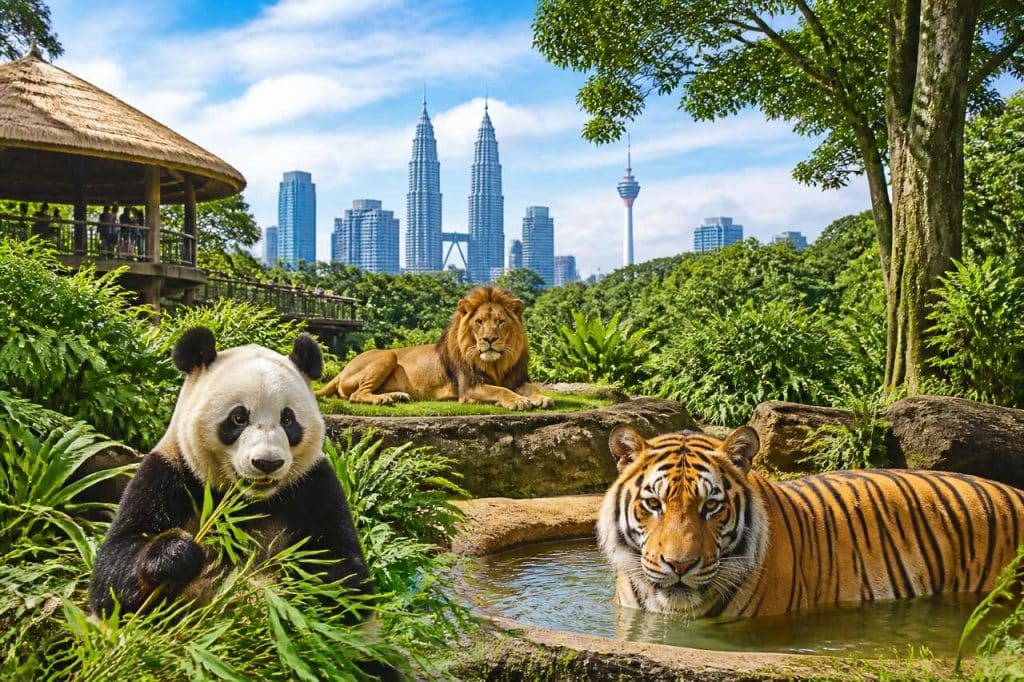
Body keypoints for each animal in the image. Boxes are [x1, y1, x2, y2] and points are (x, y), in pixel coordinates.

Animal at [88, 326, 371, 619]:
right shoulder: (168, 474)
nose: (267, 463)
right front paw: (175, 554)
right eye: (238, 418)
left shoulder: (315, 484)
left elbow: (345, 576)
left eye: (288, 419)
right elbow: (112, 573)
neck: (248, 502)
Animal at [315, 286, 554, 411]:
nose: (489, 339)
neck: (496, 363)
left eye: (500, 322)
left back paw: (396, 396)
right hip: (387, 356)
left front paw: (541, 398)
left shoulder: (517, 378)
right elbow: (500, 390)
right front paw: (518, 401)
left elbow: (531, 387)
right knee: (356, 395)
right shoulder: (469, 387)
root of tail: (341, 371)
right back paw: (383, 399)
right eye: (479, 322)